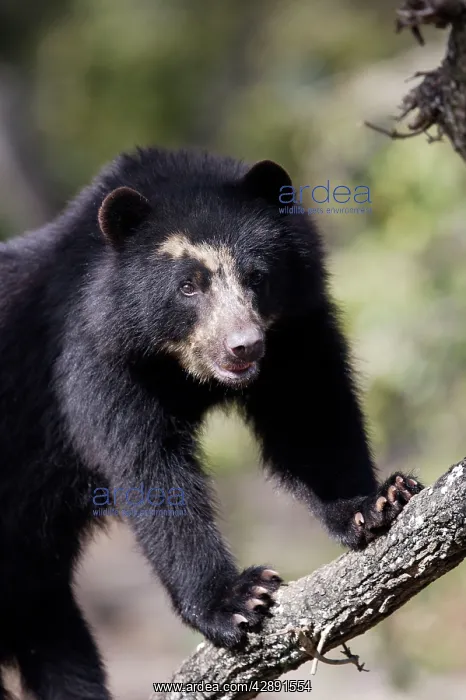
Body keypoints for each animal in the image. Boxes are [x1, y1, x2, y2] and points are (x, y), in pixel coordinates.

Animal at [0, 146, 422, 699]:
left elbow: (310, 415)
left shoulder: (293, 332)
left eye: (257, 276)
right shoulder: (95, 358)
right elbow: (149, 468)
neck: (178, 365)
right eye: (188, 286)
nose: (244, 346)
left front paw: (375, 503)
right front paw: (238, 600)